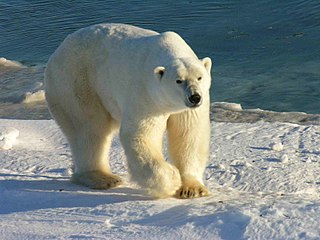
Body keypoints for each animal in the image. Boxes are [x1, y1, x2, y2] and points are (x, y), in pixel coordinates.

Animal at [43, 23, 211, 199]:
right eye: (178, 80)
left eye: (199, 77)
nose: (195, 97)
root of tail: (57, 52)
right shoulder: (146, 96)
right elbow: (141, 135)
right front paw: (172, 180)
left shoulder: (188, 109)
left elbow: (189, 135)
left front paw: (193, 189)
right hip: (76, 82)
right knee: (89, 128)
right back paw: (103, 178)